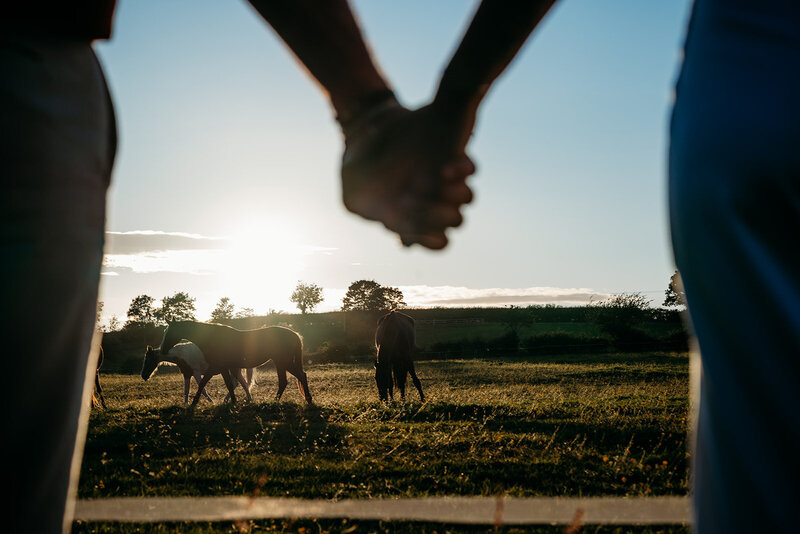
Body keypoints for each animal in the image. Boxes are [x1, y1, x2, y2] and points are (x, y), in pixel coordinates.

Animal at [159, 322, 312, 406]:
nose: (163, 349)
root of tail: (294, 334)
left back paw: (308, 400)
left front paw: (194, 403)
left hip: (283, 361)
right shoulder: (222, 367)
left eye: (170, 332)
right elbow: (227, 384)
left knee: (300, 376)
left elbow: (203, 383)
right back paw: (276, 400)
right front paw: (233, 401)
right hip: (280, 362)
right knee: (285, 381)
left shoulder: (216, 366)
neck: (212, 338)